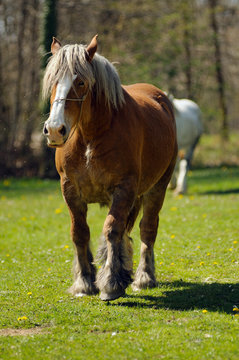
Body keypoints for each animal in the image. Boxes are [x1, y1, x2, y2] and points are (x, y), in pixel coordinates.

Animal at [43, 35, 177, 300]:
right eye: (53, 81)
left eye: (81, 82)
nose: (54, 129)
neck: (90, 138)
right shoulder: (70, 190)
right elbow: (80, 232)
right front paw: (85, 281)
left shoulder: (123, 189)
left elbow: (112, 229)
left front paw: (111, 283)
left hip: (157, 188)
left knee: (147, 229)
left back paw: (144, 277)